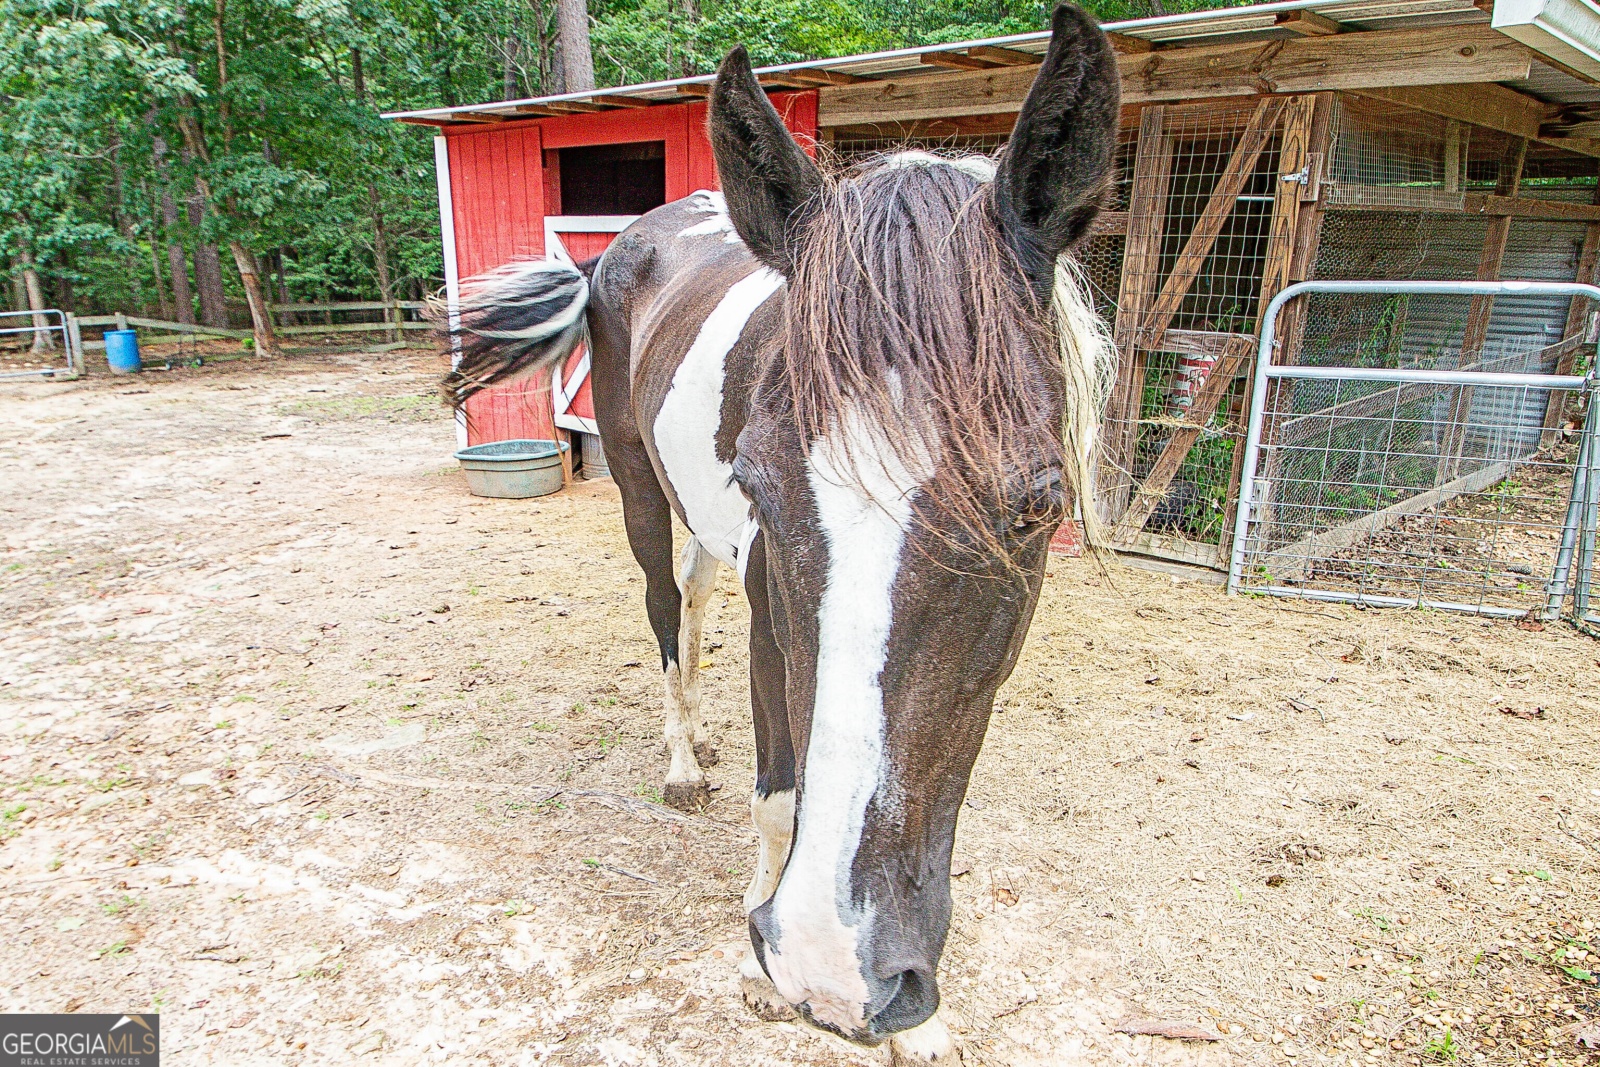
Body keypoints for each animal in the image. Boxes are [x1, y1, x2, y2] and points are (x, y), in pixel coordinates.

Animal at [444, 6, 1120, 1062]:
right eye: (764, 481)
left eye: (1039, 508)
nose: (835, 968)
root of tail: (624, 245)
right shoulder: (774, 617)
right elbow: (782, 793)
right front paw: (765, 960)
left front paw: (921, 1021)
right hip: (638, 488)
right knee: (664, 608)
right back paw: (683, 762)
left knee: (694, 591)